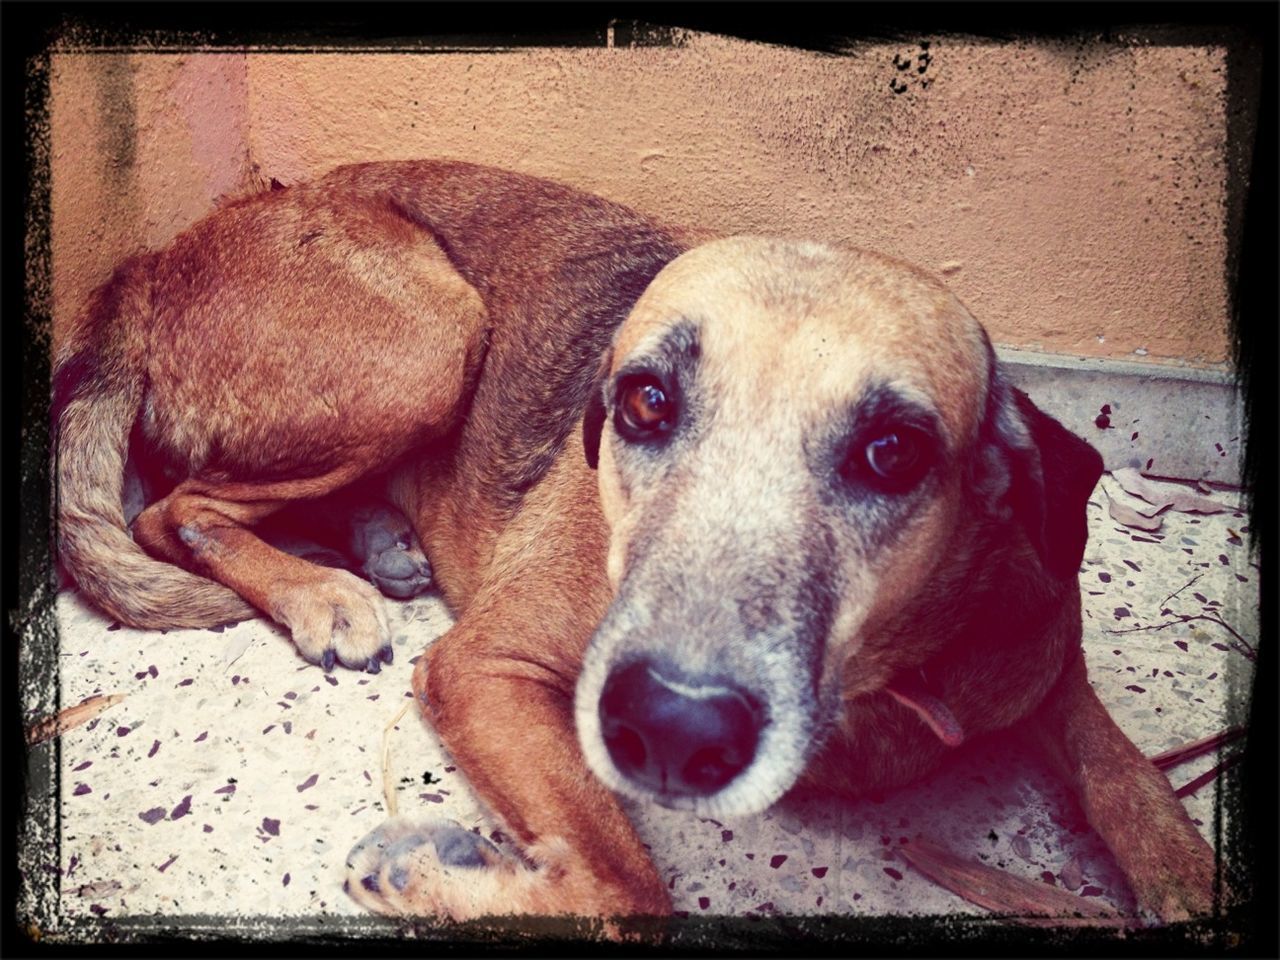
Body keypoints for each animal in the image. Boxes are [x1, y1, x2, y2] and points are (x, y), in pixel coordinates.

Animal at [52, 158, 1218, 931]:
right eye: (643, 402)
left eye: (892, 454)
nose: (669, 724)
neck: (873, 693)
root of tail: (155, 259)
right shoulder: (488, 668)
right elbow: (626, 883)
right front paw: (428, 868)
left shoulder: (1042, 661)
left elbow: (1139, 797)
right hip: (434, 335)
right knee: (171, 509)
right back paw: (320, 593)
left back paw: (376, 542)